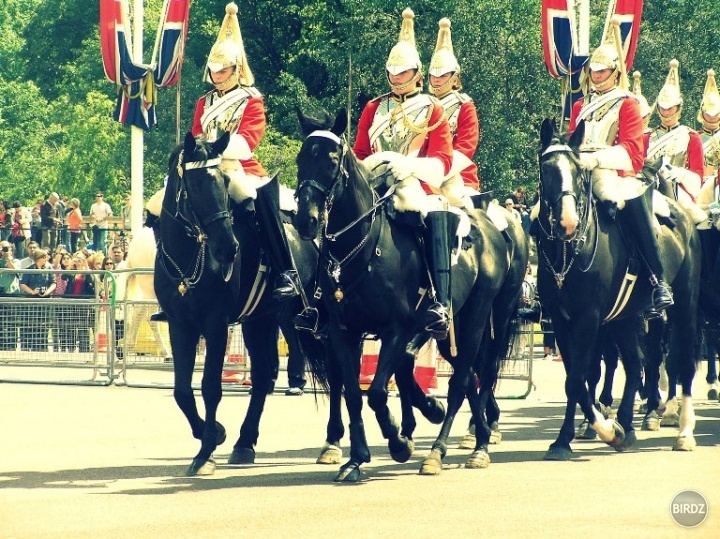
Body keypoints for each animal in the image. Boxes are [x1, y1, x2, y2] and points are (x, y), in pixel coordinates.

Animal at [155, 133, 324, 474]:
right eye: (195, 186)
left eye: (223, 182)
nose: (228, 248)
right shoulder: (181, 325)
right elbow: (182, 391)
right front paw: (214, 433)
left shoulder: (216, 325)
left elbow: (210, 386)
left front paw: (205, 451)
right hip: (261, 319)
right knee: (262, 376)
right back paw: (245, 443)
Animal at [294, 108, 528, 480]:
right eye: (301, 158)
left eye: (331, 160)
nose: (307, 220)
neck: (364, 247)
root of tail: (493, 228)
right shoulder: (343, 332)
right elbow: (353, 394)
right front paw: (356, 458)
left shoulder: (396, 328)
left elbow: (376, 392)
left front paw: (398, 441)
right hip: (449, 332)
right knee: (470, 377)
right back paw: (471, 432)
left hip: (480, 319)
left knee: (467, 380)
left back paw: (451, 449)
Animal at [536, 119, 700, 460]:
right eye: (546, 169)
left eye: (579, 170)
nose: (567, 223)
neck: (568, 254)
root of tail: (682, 214)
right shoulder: (560, 319)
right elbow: (577, 378)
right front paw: (566, 439)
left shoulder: (588, 317)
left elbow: (578, 378)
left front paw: (604, 429)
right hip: (626, 317)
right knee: (636, 364)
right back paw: (627, 425)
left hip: (684, 306)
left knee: (682, 361)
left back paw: (683, 431)